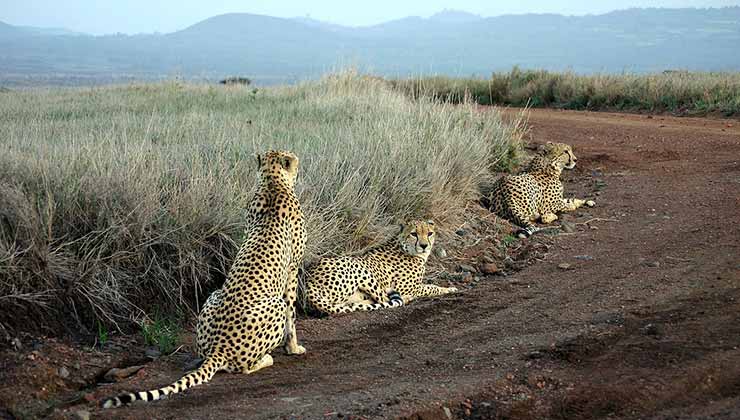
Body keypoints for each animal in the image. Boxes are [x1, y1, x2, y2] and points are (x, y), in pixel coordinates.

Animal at [102, 150, 304, 406]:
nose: (298, 163)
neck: (272, 183)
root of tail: (219, 347)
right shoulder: (293, 270)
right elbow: (292, 313)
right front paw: (294, 348)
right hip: (273, 305)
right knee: (244, 367)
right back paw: (267, 359)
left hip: (214, 296)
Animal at [304, 220, 456, 316]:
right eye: (414, 234)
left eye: (429, 233)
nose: (424, 245)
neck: (404, 247)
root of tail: (308, 283)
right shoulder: (406, 288)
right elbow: (431, 287)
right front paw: (449, 289)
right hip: (362, 270)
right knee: (385, 299)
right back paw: (406, 299)